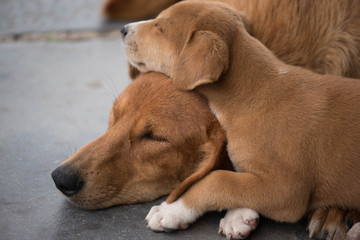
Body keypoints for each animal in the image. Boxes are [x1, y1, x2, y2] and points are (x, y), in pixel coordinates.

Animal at [120, 0, 360, 239]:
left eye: (159, 27)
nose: (122, 29)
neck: (254, 92)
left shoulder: (287, 189)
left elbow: (217, 179)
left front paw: (172, 210)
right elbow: (236, 183)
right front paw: (238, 215)